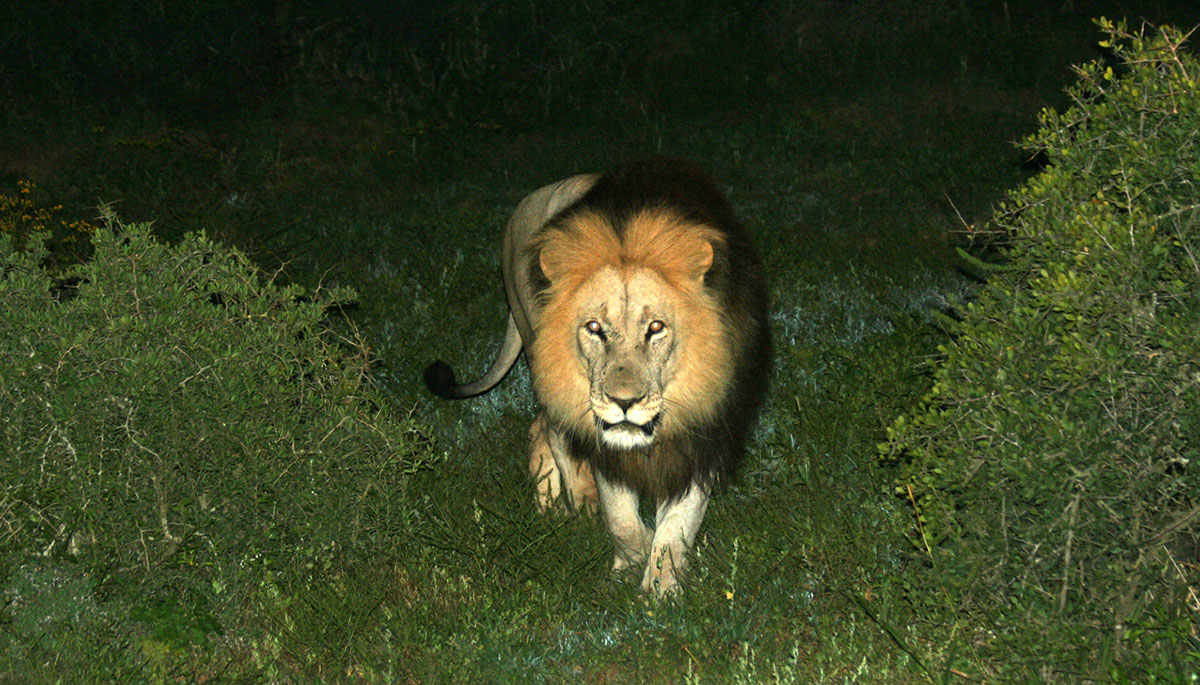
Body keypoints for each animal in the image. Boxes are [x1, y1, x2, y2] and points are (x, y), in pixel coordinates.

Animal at [427, 155, 772, 595]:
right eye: (594, 327)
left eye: (656, 327)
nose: (624, 402)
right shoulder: (603, 432)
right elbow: (620, 516)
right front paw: (629, 562)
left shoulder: (705, 432)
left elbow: (678, 525)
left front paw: (662, 592)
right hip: (539, 348)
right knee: (554, 428)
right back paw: (576, 501)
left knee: (539, 427)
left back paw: (550, 502)